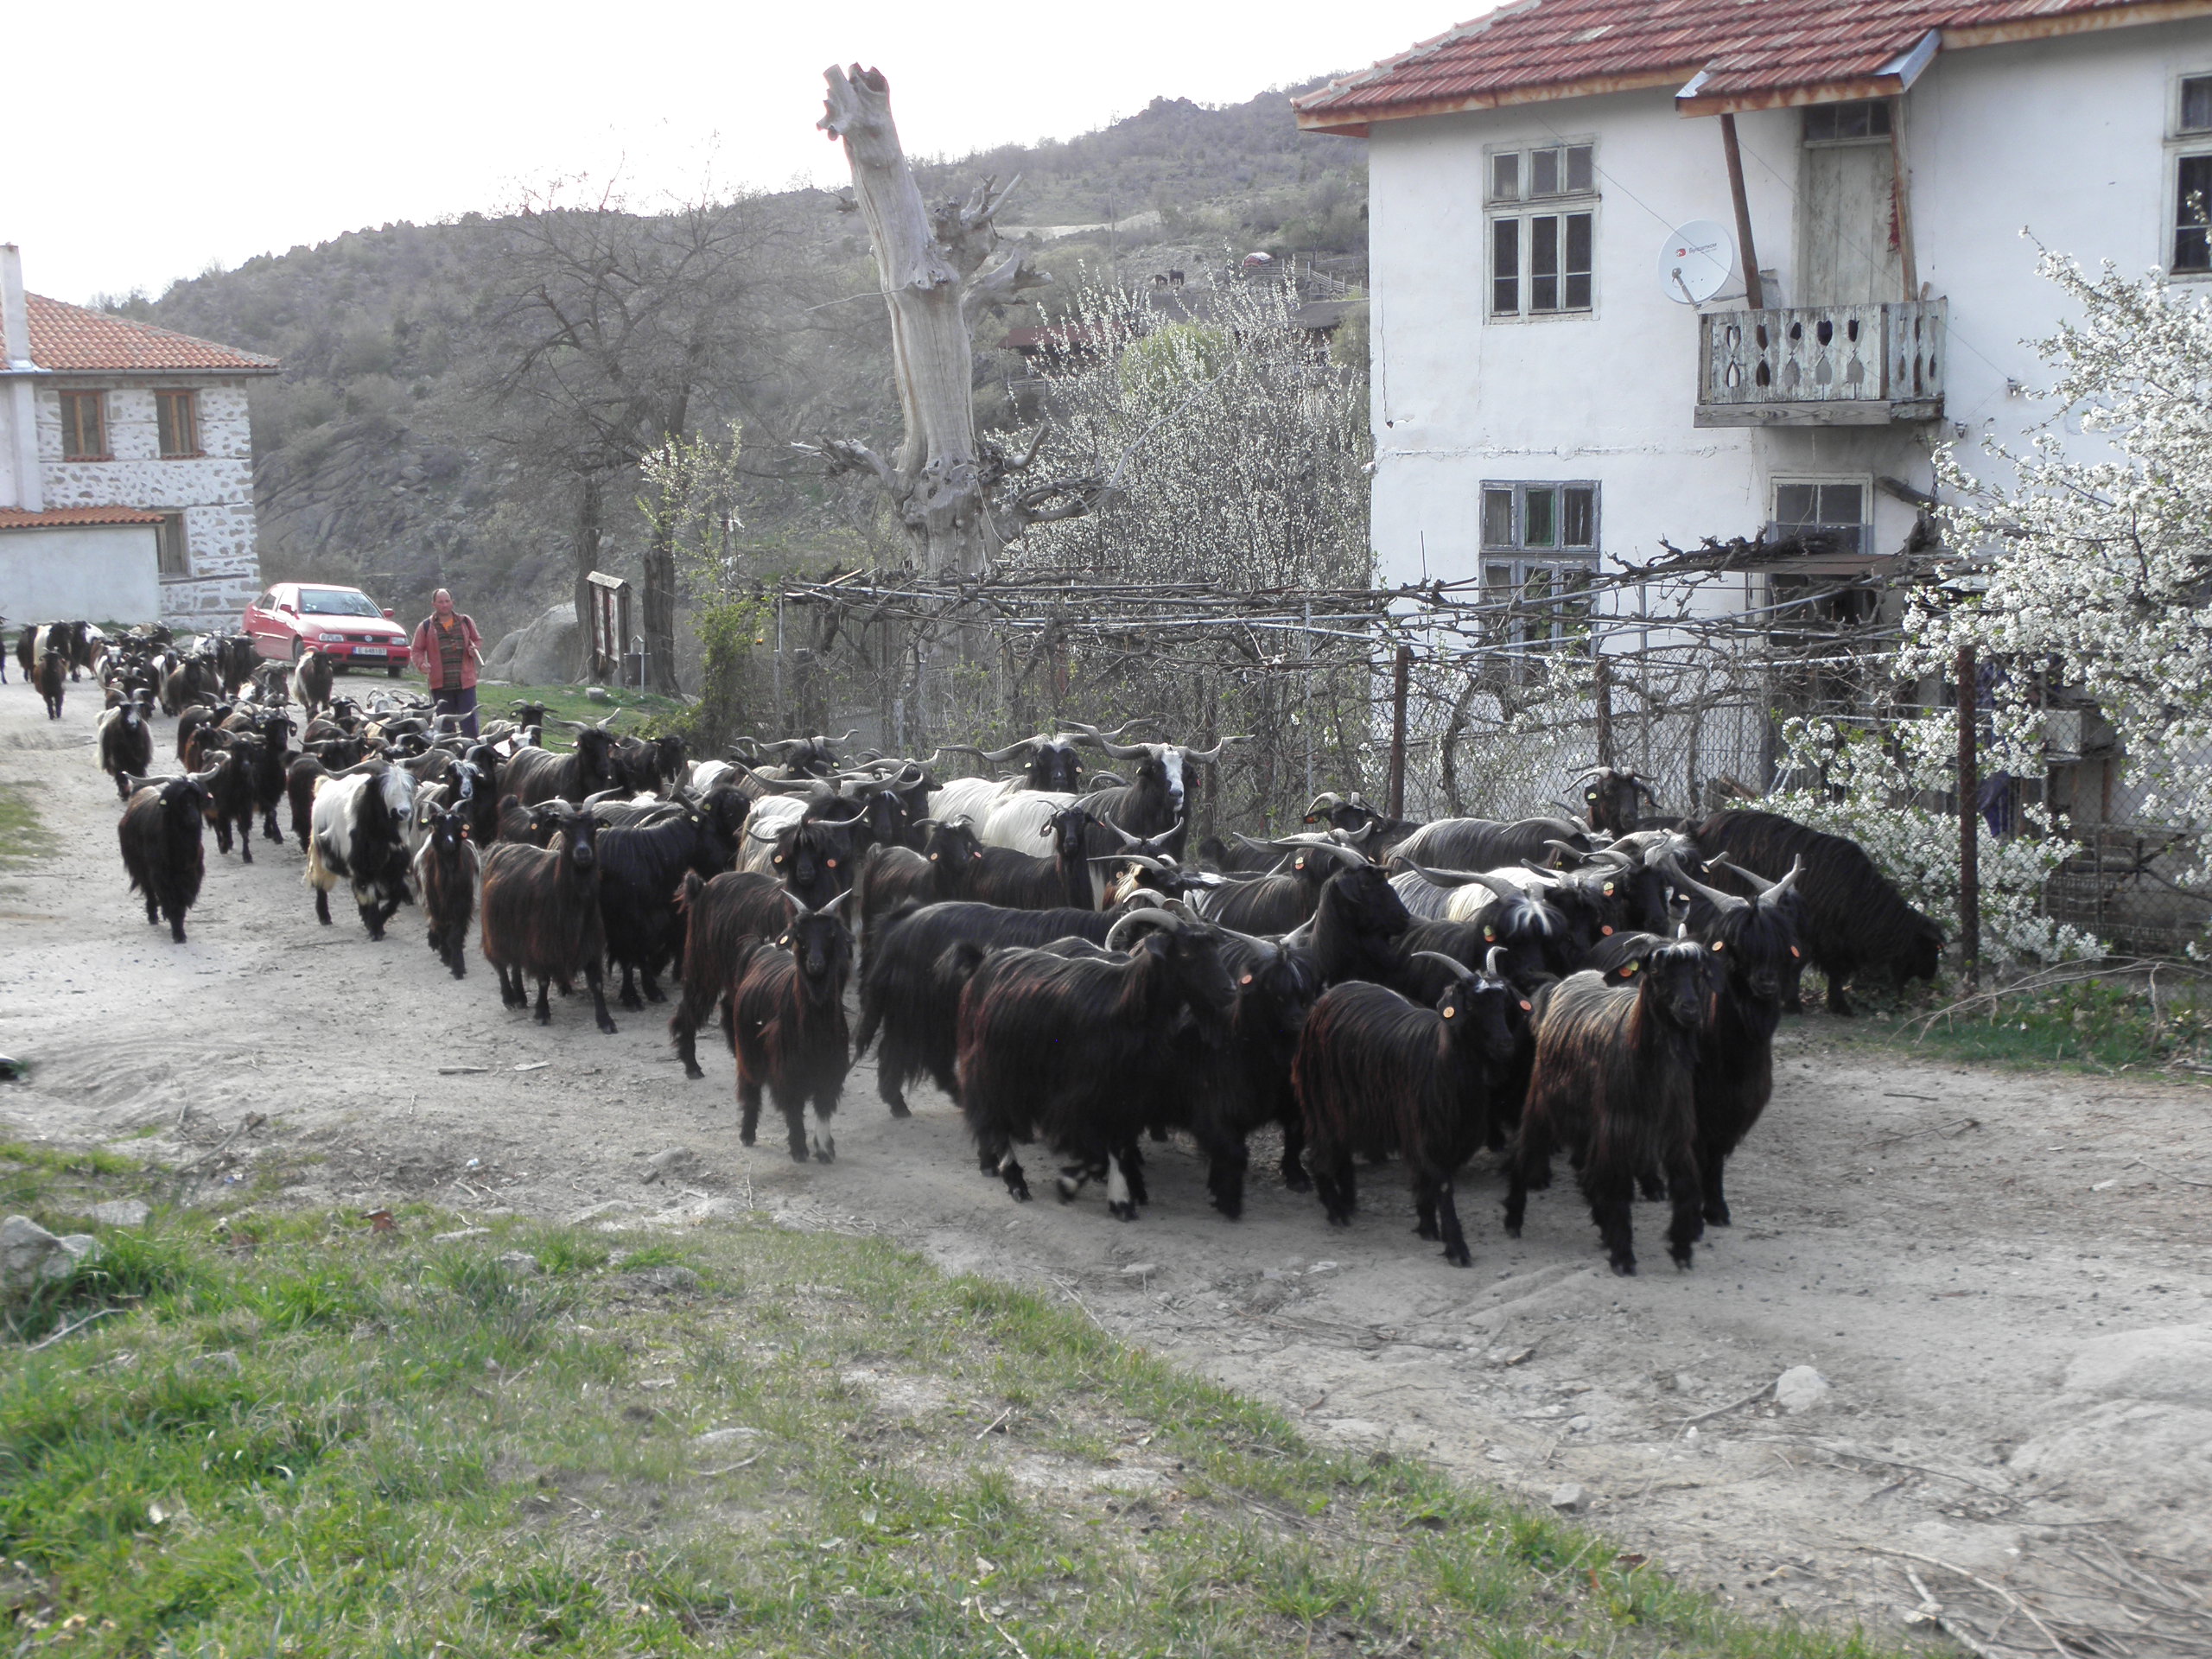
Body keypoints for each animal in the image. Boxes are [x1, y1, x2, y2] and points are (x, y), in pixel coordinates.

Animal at [1292, 955, 1522, 1265]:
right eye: (1472, 1005)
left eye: (1503, 1003)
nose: (1506, 1044)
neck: (1441, 1063)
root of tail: (1329, 994)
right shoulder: (1426, 1133)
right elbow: (1442, 1186)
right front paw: (1457, 1248)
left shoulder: (1445, 1136)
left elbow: (1424, 1182)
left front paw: (1428, 1227)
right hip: (1322, 1101)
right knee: (1318, 1154)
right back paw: (1336, 1211)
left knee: (1340, 1152)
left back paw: (1347, 1203)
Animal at [1513, 942, 1716, 1282]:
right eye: (1657, 971)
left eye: (1699, 971)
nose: (1689, 1009)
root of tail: (1564, 982)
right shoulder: (1616, 1128)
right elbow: (1618, 1190)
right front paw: (1623, 1257)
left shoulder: (1676, 1131)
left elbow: (1686, 1187)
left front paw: (1682, 1249)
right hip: (1543, 1098)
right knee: (1528, 1146)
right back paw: (1512, 1218)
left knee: (1589, 1168)